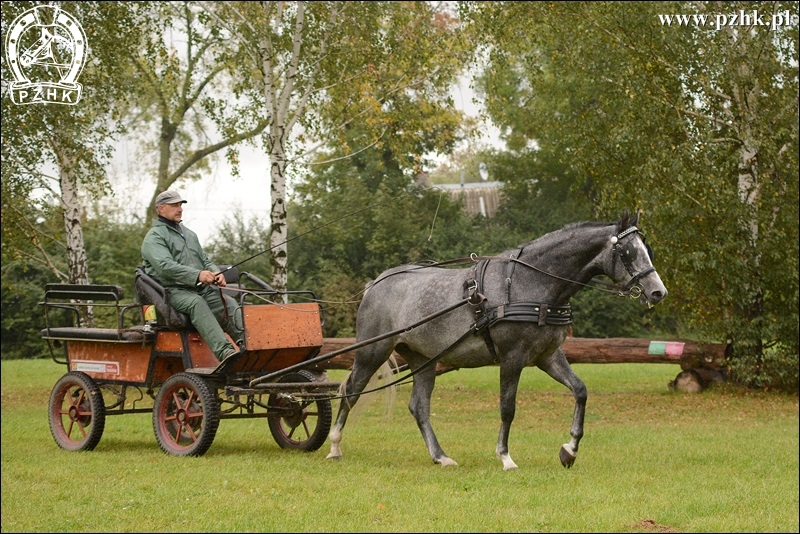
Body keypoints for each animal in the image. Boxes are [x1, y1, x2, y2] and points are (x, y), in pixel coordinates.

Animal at [326, 211, 668, 472]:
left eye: (647, 248)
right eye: (628, 252)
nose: (657, 292)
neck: (531, 284)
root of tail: (375, 283)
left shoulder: (547, 356)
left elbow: (580, 391)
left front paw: (569, 450)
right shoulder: (512, 358)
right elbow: (507, 407)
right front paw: (505, 458)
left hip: (423, 359)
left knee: (419, 407)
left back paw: (441, 457)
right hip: (372, 352)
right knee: (350, 391)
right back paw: (334, 446)